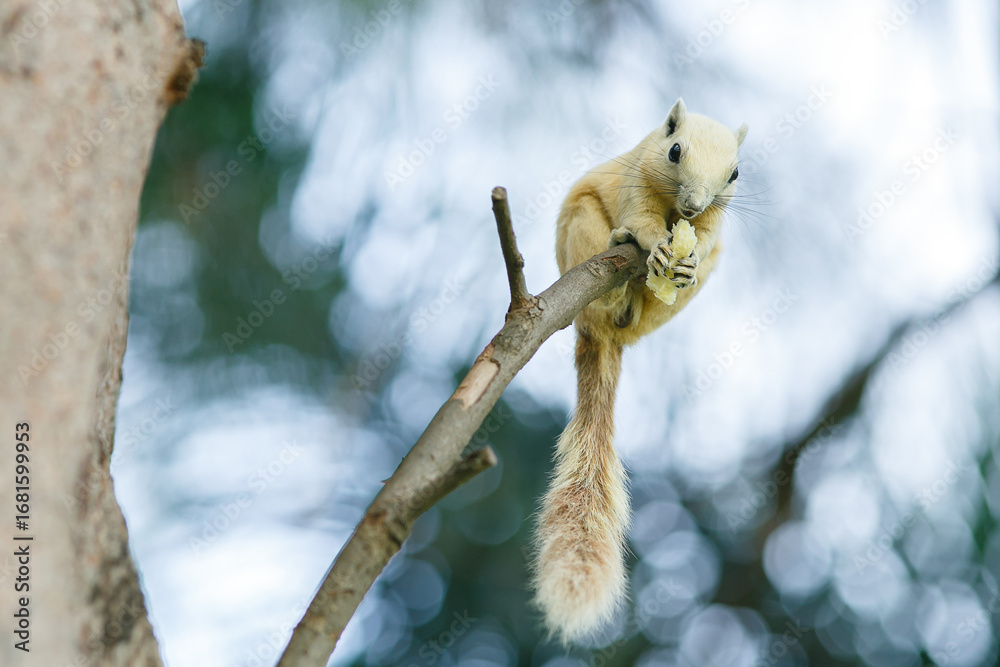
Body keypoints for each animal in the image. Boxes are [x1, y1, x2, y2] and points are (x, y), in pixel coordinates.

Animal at [533, 99, 748, 642]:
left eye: (735, 173)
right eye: (674, 151)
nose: (694, 204)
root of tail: (605, 336)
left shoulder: (714, 224)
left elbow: (705, 237)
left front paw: (685, 255)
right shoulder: (636, 185)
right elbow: (645, 219)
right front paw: (652, 241)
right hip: (584, 230)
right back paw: (618, 278)